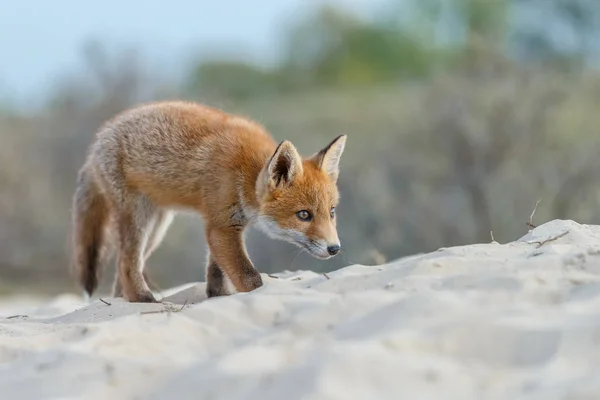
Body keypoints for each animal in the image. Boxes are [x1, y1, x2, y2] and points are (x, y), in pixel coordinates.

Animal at [71, 101, 346, 304]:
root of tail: (98, 140)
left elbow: (217, 271)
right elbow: (250, 278)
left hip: (157, 228)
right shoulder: (222, 225)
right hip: (138, 218)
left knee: (124, 270)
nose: (335, 248)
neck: (245, 172)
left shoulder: (224, 224)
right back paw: (144, 300)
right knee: (126, 264)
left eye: (332, 212)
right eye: (304, 215)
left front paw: (218, 296)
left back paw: (124, 301)